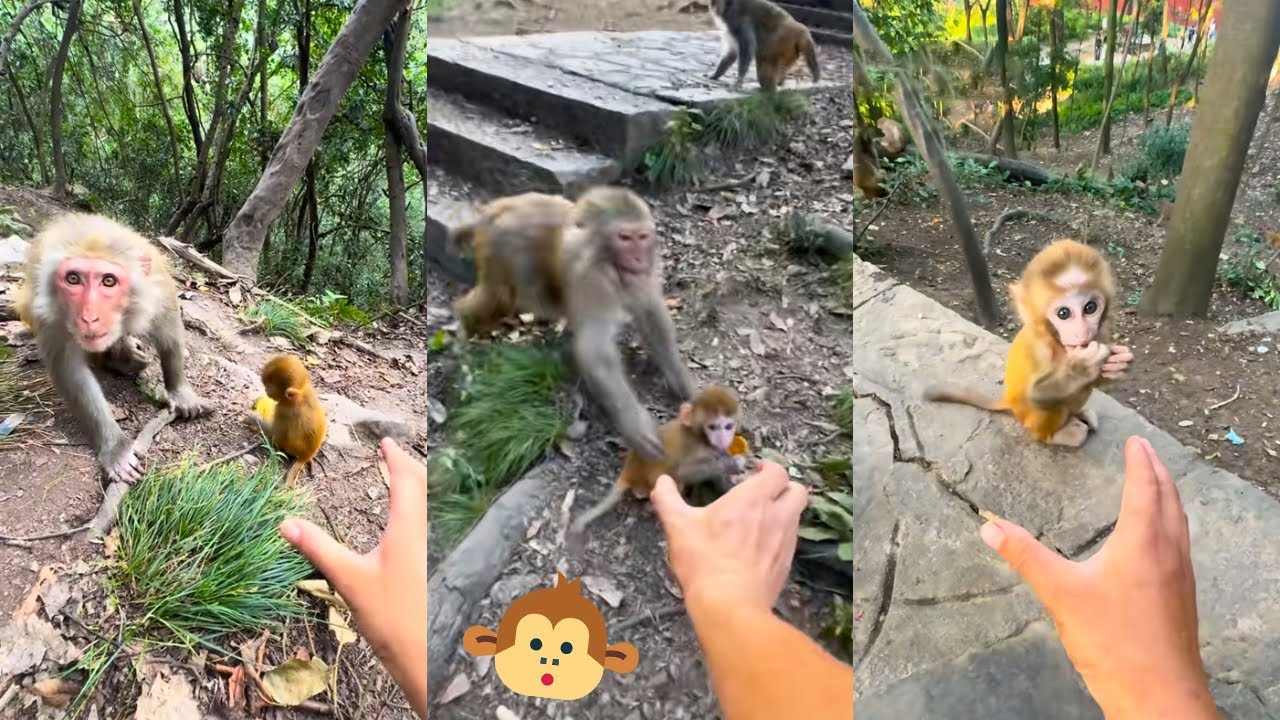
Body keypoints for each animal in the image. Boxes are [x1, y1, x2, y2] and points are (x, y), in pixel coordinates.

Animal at [13, 213, 212, 483]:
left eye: (109, 281)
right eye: (73, 279)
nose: (89, 317)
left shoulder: (156, 288)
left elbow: (169, 333)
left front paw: (180, 392)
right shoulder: (47, 314)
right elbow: (71, 370)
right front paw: (115, 447)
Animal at [249, 354, 327, 486]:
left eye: (268, 386)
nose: (265, 390)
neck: (300, 395)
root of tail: (307, 455)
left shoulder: (283, 411)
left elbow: (277, 435)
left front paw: (255, 422)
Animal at [450, 187, 694, 461]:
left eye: (642, 237)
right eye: (624, 238)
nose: (638, 258)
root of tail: (496, 208)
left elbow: (651, 313)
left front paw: (686, 385)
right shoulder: (592, 279)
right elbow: (596, 351)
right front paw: (636, 426)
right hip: (500, 247)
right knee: (500, 297)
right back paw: (463, 328)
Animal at [570, 385, 748, 535]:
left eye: (728, 426)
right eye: (712, 427)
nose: (723, 438)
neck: (698, 436)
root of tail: (628, 471)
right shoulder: (695, 447)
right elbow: (682, 471)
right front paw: (728, 464)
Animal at [923, 239, 1134, 447]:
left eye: (1090, 308)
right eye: (1063, 313)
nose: (1081, 332)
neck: (1055, 341)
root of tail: (1007, 400)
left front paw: (1119, 365)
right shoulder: (1039, 348)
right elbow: (1034, 395)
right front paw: (1082, 367)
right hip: (1028, 418)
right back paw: (1058, 435)